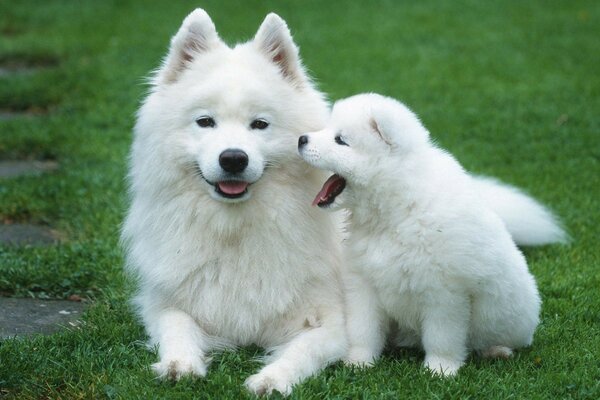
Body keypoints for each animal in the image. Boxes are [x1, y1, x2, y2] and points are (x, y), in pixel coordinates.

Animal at [120, 9, 346, 396]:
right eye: (205, 121)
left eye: (260, 124)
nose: (233, 159)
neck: (235, 230)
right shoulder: (165, 303)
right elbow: (176, 326)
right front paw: (180, 364)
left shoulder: (334, 322)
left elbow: (304, 349)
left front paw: (272, 378)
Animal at [300, 93, 568, 376]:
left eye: (340, 140)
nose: (301, 139)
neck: (397, 208)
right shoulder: (364, 283)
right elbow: (363, 329)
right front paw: (359, 363)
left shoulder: (443, 292)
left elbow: (442, 336)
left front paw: (440, 369)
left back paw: (497, 351)